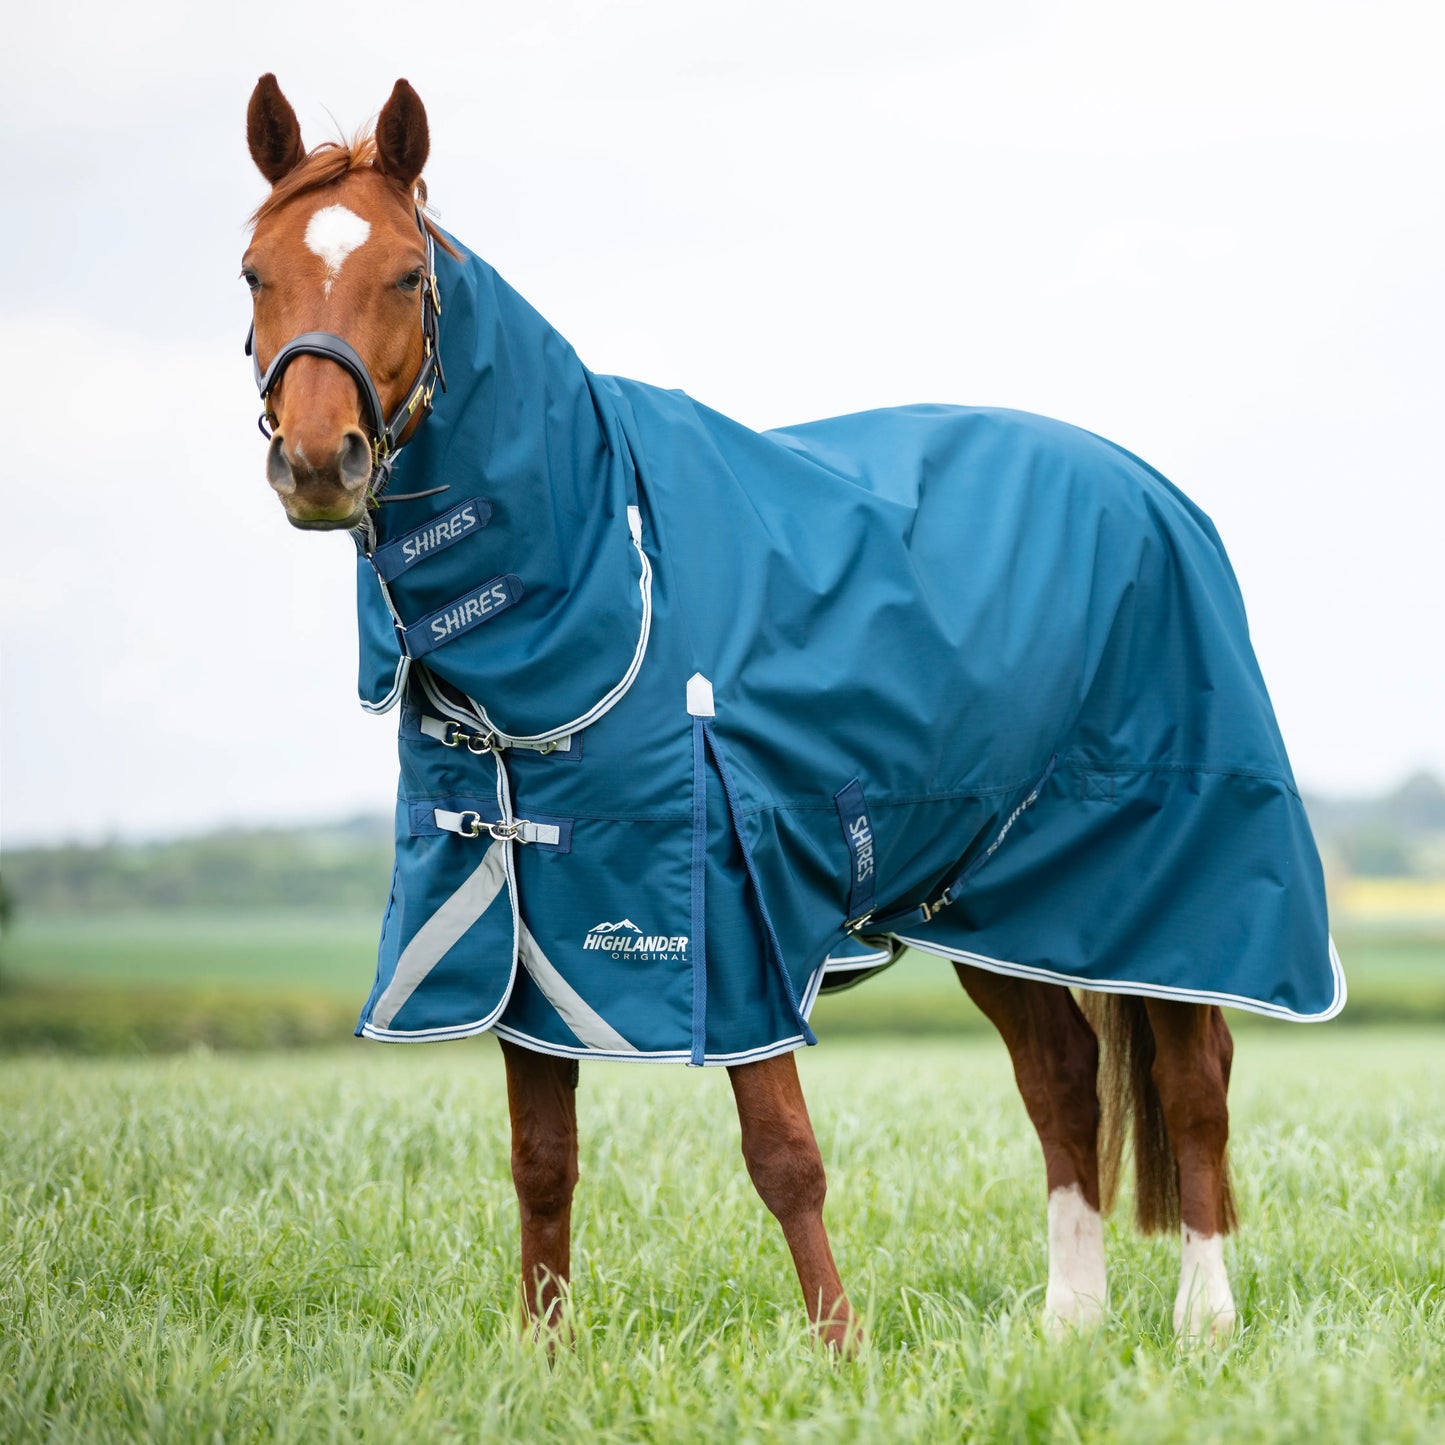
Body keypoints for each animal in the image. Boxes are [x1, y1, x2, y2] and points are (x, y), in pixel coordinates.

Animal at [240, 74, 1341, 1350]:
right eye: (254, 271)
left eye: (407, 275)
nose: (320, 462)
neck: (605, 579)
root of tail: (1151, 490)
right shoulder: (528, 928)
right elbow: (541, 1160)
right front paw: (544, 1355)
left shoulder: (730, 911)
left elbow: (781, 1153)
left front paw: (838, 1349)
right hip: (997, 903)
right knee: (1063, 1080)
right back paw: (1069, 1323)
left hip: (1171, 879)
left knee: (1192, 1079)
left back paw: (1202, 1319)